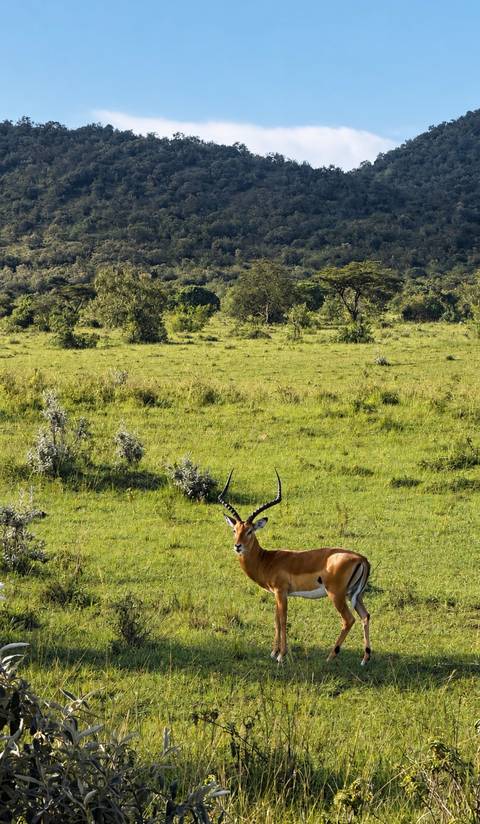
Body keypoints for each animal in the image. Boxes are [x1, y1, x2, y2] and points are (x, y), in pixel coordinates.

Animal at [219, 470, 371, 665]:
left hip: (337, 595)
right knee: (365, 616)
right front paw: (273, 652)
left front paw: (281, 656)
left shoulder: (281, 592)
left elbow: (283, 620)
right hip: (356, 595)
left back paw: (330, 656)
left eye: (250, 531)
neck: (267, 560)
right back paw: (365, 659)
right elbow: (276, 619)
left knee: (349, 620)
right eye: (235, 530)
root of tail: (362, 559)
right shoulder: (276, 594)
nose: (237, 546)